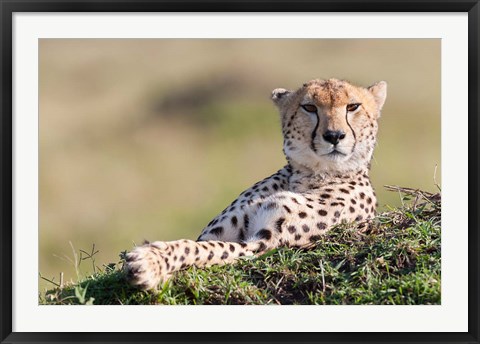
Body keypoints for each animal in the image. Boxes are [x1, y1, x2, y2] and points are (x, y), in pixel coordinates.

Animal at [124, 78, 386, 290]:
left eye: (353, 107)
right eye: (309, 107)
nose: (334, 136)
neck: (311, 175)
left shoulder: (261, 245)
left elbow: (203, 249)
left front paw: (148, 263)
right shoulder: (214, 235)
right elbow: (192, 244)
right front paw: (153, 259)